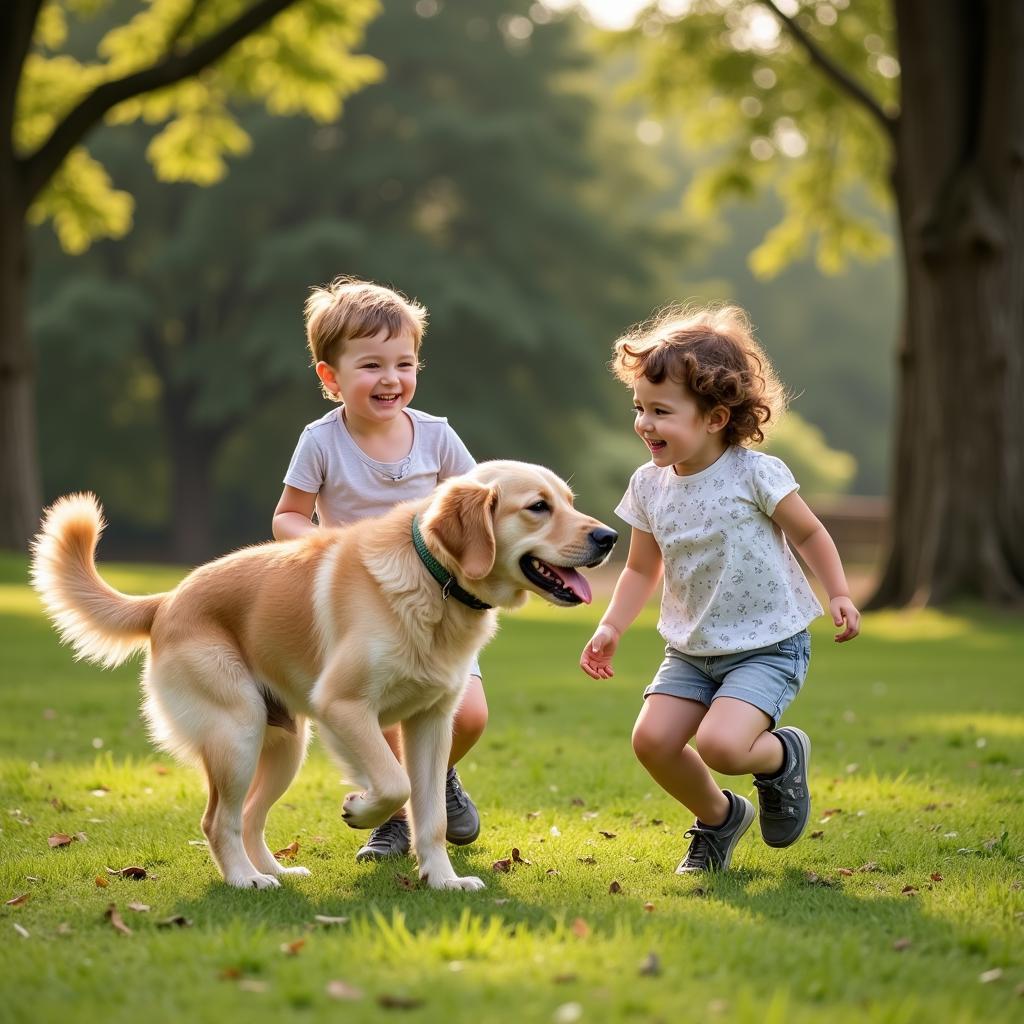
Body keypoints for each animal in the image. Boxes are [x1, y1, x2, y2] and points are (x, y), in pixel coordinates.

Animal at [32, 462, 614, 888]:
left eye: (568, 501)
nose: (609, 536)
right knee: (217, 821)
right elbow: (393, 782)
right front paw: (360, 810)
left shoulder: (430, 723)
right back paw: (245, 880)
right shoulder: (345, 706)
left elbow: (430, 816)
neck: (432, 578)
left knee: (247, 818)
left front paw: (443, 880)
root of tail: (167, 599)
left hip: (286, 747)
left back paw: (277, 872)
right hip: (237, 732)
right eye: (538, 507)